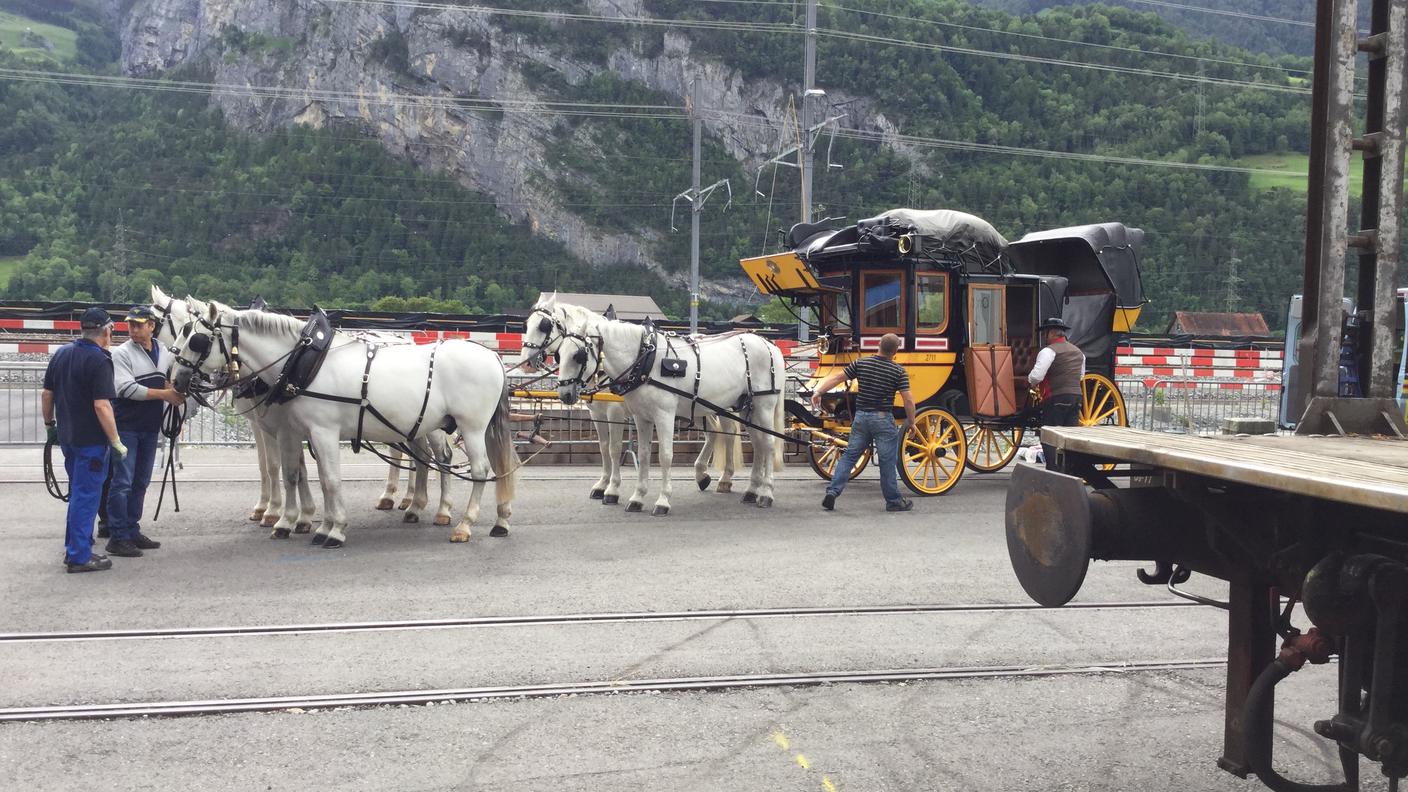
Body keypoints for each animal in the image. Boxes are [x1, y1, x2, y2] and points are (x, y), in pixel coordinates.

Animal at [170, 298, 512, 546]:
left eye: (196, 339)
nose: (177, 378)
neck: (304, 361)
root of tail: (493, 357)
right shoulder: (301, 431)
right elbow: (310, 476)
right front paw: (315, 524)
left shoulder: (321, 431)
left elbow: (330, 480)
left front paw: (332, 530)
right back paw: (497, 519)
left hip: (471, 427)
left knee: (477, 469)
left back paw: (464, 524)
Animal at [526, 295, 749, 498]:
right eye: (527, 323)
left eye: (543, 325)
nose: (528, 361)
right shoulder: (597, 413)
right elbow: (603, 447)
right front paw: (602, 484)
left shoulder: (614, 412)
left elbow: (614, 448)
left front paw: (612, 489)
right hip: (702, 407)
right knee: (714, 433)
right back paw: (702, 474)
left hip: (721, 406)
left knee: (728, 432)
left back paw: (725, 478)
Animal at [551, 317, 794, 515]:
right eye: (558, 354)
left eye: (578, 355)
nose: (564, 394)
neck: (645, 359)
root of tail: (769, 345)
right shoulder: (641, 417)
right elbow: (644, 454)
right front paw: (637, 497)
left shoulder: (661, 415)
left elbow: (664, 456)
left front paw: (662, 501)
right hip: (745, 408)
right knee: (756, 443)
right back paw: (752, 490)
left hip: (763, 406)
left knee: (768, 444)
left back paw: (766, 493)